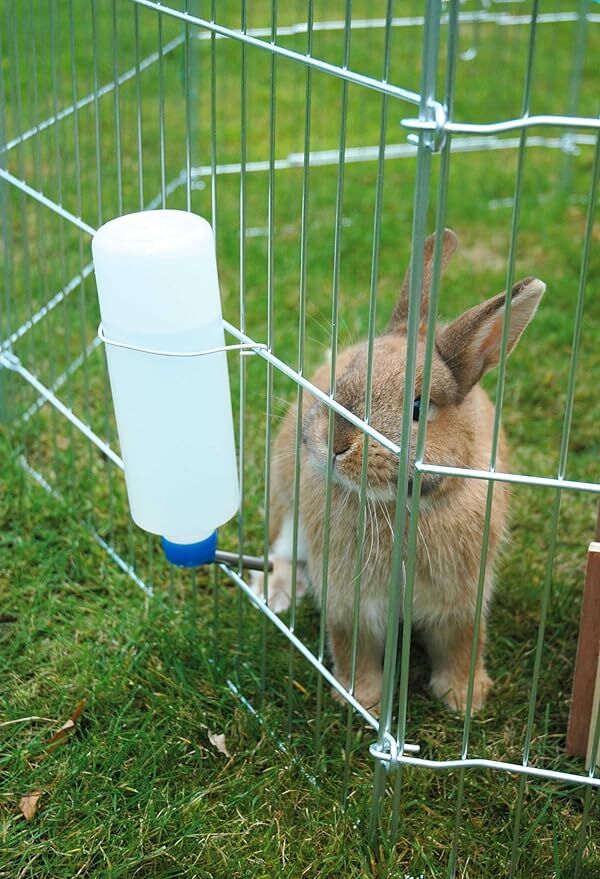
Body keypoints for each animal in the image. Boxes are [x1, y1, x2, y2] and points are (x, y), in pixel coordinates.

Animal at [251, 228, 545, 714]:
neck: (403, 506)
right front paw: (362, 702)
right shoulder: (350, 604)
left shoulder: (463, 603)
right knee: (281, 550)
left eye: (418, 408)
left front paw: (464, 699)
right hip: (285, 504)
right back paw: (272, 594)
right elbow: (355, 650)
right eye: (342, 379)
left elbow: (462, 647)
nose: (335, 442)